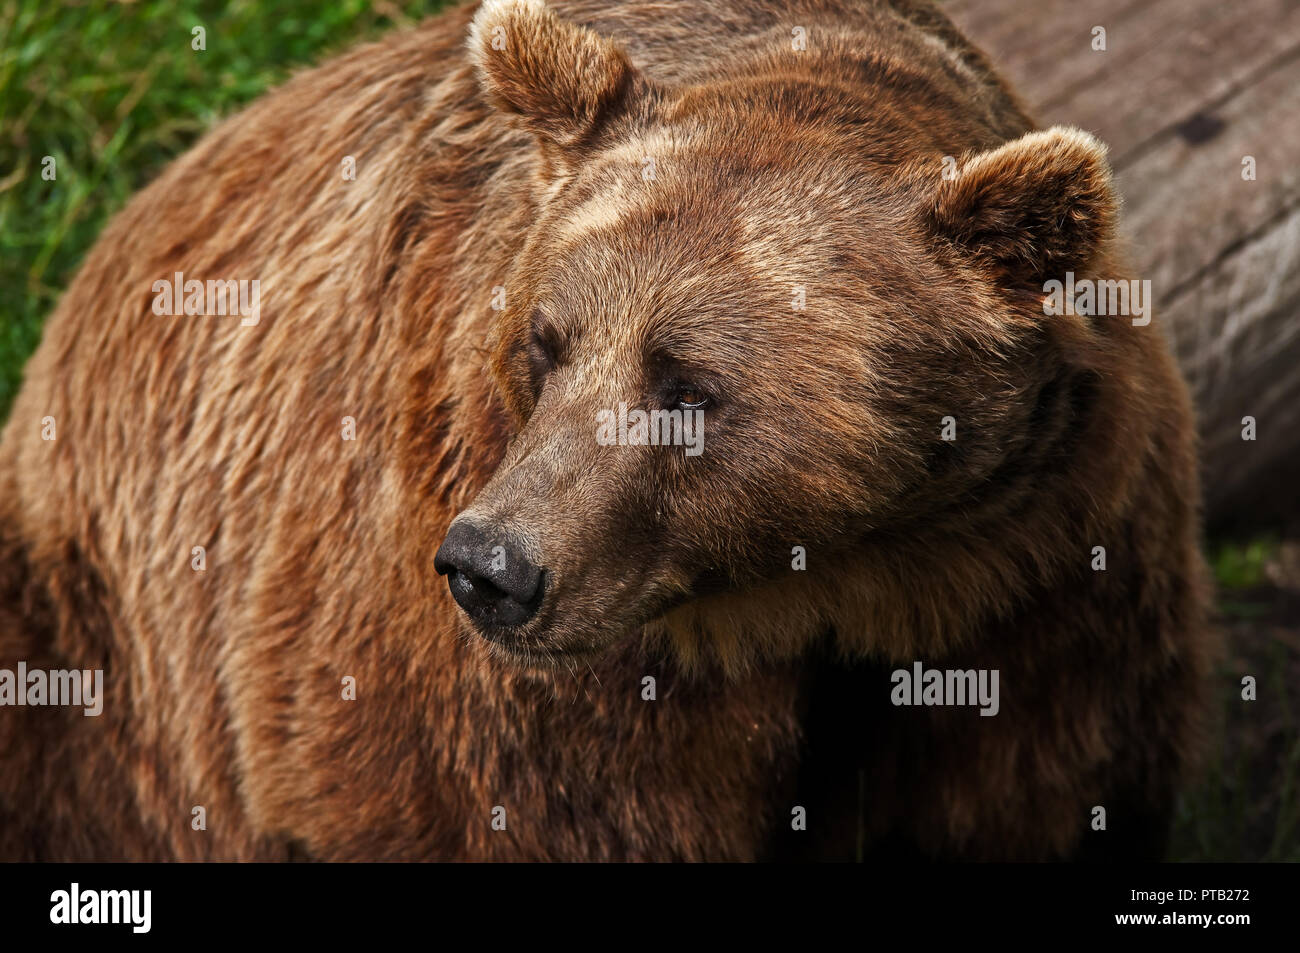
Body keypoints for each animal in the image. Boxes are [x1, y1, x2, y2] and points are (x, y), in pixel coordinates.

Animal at [0, 0, 1214, 861]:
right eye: (545, 339)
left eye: (688, 385)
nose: (491, 565)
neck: (831, 583)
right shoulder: (508, 676)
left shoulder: (1041, 572)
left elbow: (1035, 793)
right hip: (91, 636)